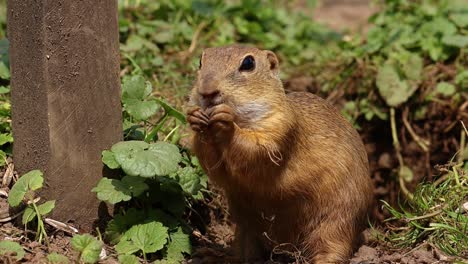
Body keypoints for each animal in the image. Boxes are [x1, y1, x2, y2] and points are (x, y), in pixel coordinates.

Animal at [186, 46, 372, 264]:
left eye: (248, 63)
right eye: (201, 60)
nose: (206, 92)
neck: (244, 119)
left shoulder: (281, 128)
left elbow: (256, 152)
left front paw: (226, 123)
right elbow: (213, 166)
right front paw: (195, 117)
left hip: (336, 221)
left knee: (333, 248)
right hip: (245, 230)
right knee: (244, 255)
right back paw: (214, 255)